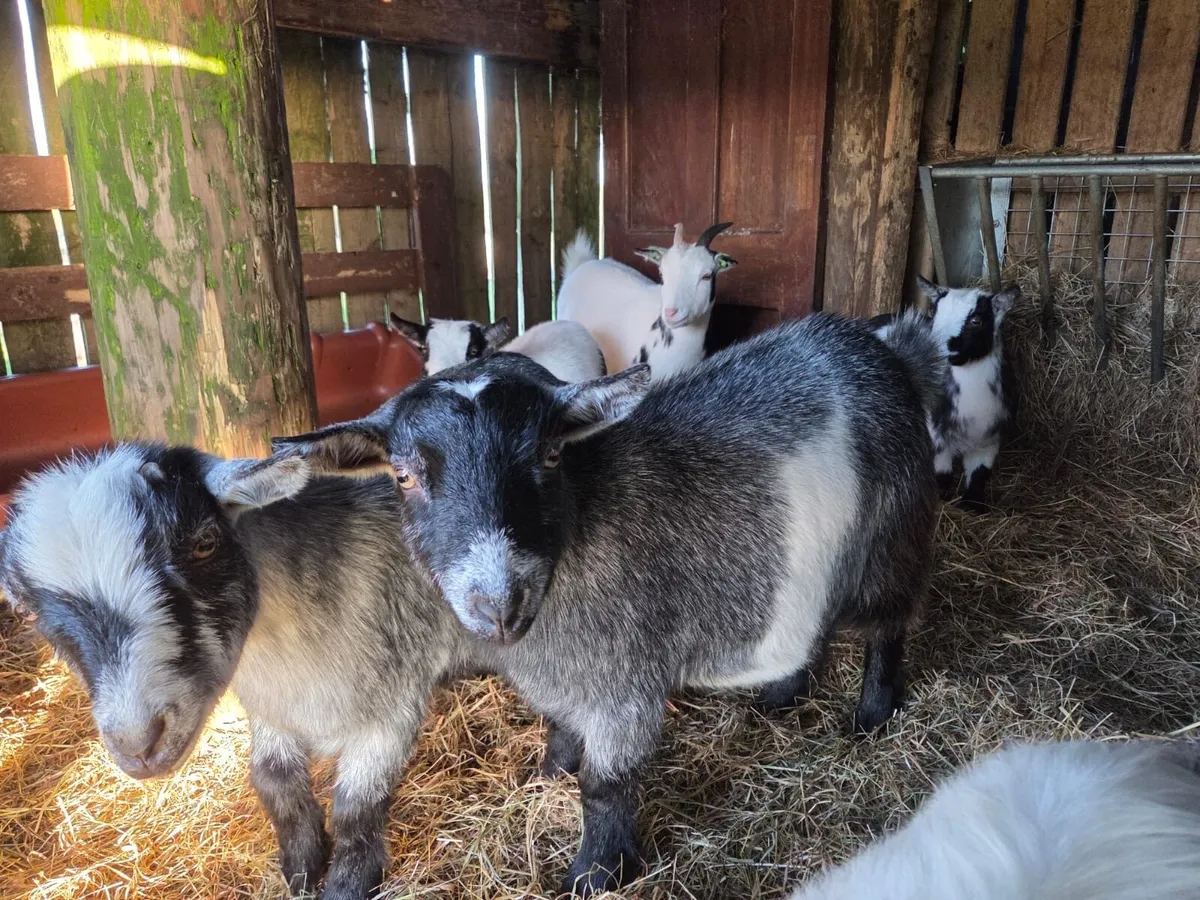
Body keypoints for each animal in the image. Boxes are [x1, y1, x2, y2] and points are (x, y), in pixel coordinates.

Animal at [0, 446, 473, 900]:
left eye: (205, 543)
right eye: (26, 611)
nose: (137, 743)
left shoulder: (394, 704)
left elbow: (356, 807)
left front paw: (347, 885)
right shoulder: (272, 708)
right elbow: (272, 778)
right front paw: (301, 866)